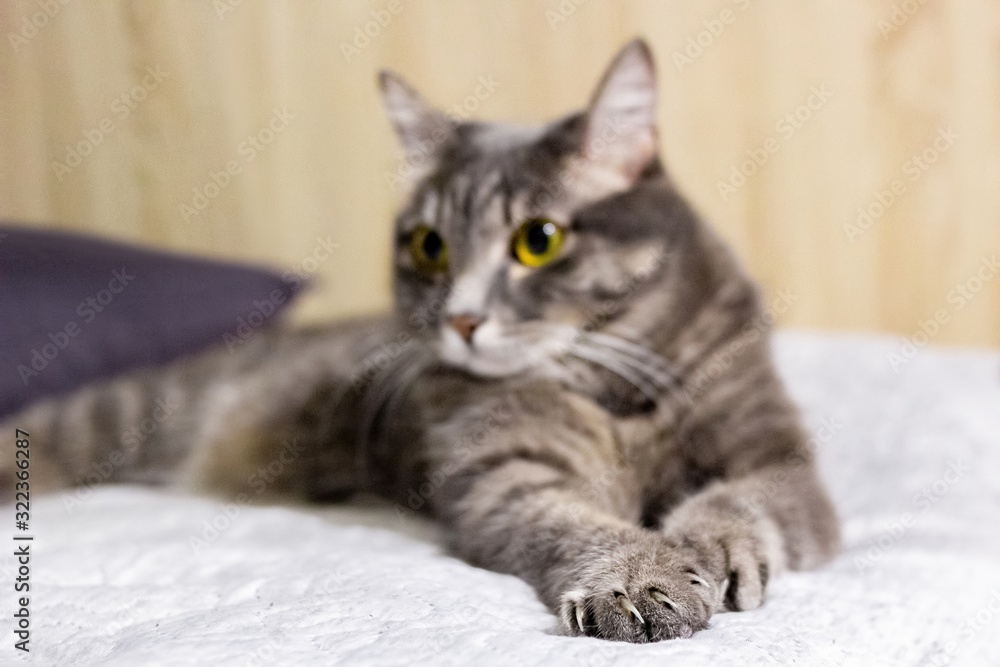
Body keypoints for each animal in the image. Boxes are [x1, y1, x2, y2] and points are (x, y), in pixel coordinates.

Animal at [3, 40, 840, 640]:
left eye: (538, 240)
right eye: (430, 246)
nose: (461, 320)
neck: (612, 384)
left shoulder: (778, 459)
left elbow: (736, 499)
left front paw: (706, 547)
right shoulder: (505, 471)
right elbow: (573, 521)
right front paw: (637, 571)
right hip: (125, 410)